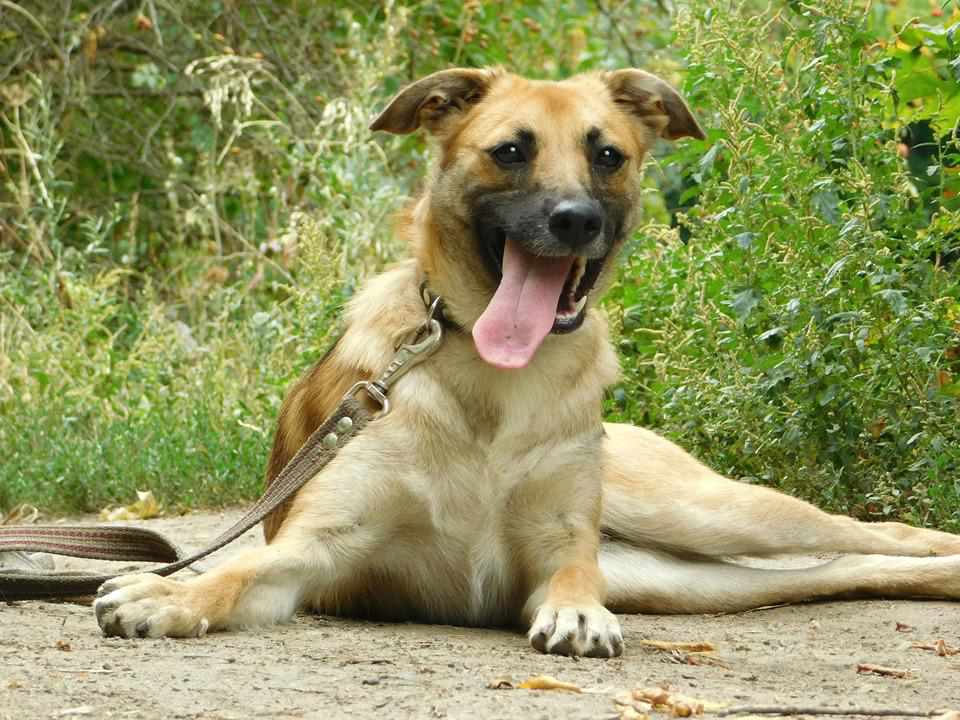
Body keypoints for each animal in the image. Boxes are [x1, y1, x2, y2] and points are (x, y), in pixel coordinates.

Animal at [92, 69, 960, 660]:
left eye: (607, 155)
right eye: (510, 151)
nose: (573, 220)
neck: (493, 385)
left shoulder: (563, 545)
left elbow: (573, 578)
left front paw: (575, 614)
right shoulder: (319, 552)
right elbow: (235, 572)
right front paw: (168, 592)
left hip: (702, 513)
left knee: (872, 532)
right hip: (682, 575)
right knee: (844, 566)